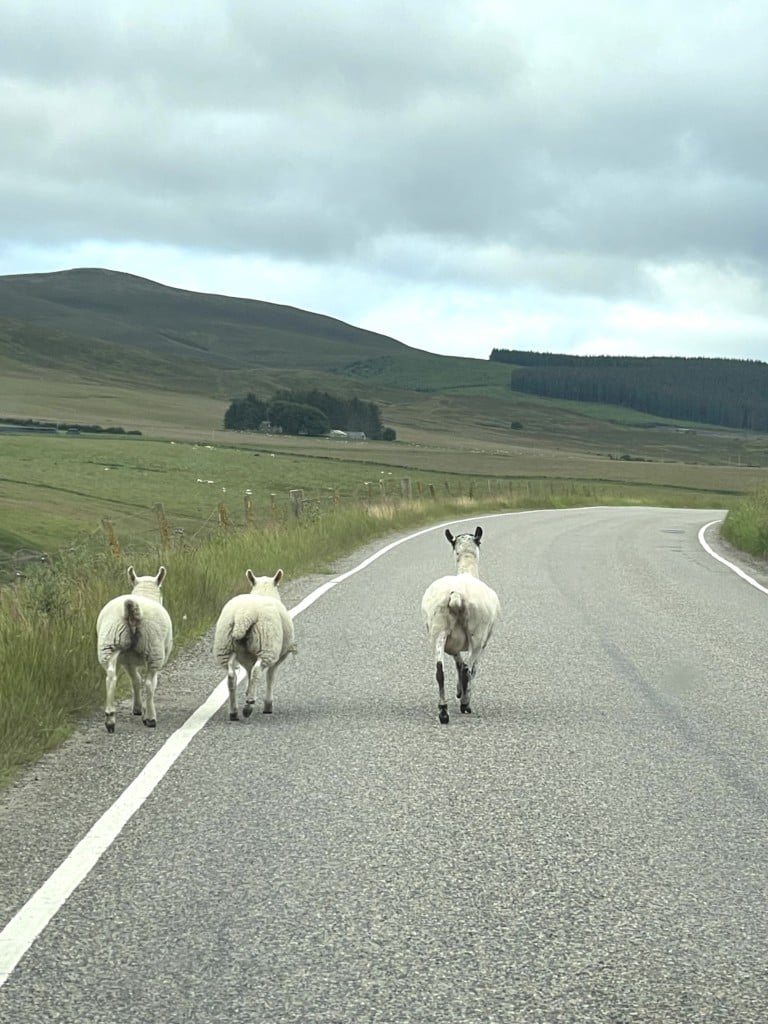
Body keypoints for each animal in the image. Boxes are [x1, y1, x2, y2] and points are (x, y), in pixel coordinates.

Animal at [96, 565, 174, 733]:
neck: (144, 592)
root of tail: (132, 609)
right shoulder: (135, 660)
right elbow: (142, 681)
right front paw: (142, 710)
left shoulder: (127, 660)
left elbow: (135, 680)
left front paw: (138, 708)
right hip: (154, 649)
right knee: (150, 684)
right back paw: (150, 717)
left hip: (110, 643)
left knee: (111, 677)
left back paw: (110, 718)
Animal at [214, 569, 296, 720]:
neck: (263, 592)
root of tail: (244, 616)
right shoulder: (278, 656)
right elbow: (270, 676)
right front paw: (267, 704)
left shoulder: (248, 658)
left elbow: (249, 673)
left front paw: (247, 692)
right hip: (267, 647)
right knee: (257, 671)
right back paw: (249, 705)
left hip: (226, 647)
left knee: (231, 676)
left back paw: (234, 711)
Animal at [417, 532, 501, 724]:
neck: (467, 571)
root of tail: (456, 595)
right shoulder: (482, 643)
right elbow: (469, 668)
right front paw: (462, 694)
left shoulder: (453, 645)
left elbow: (458, 661)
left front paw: (458, 690)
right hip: (476, 635)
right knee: (467, 670)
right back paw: (465, 704)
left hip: (438, 631)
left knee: (439, 671)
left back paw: (443, 711)